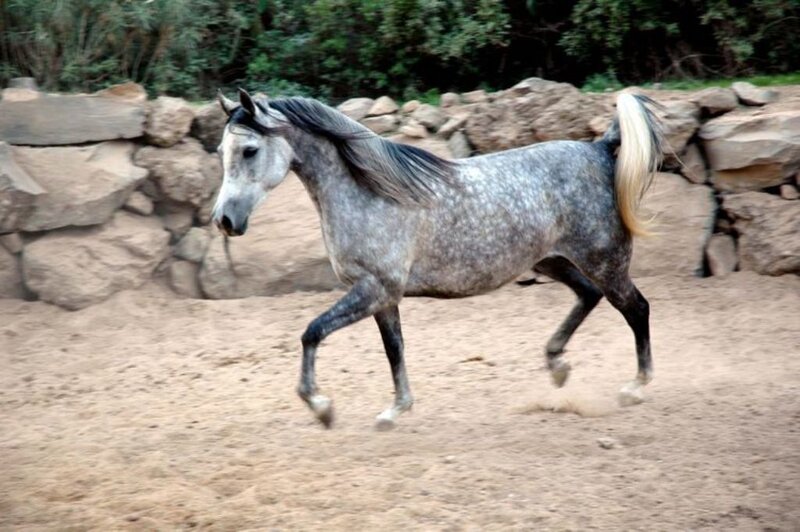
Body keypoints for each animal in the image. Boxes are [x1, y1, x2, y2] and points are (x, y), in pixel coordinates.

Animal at [212, 88, 664, 430]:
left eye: (249, 150)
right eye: (221, 150)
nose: (224, 220)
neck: (369, 192)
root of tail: (600, 149)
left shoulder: (375, 289)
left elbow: (312, 332)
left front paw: (322, 408)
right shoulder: (383, 297)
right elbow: (394, 349)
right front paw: (394, 411)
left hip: (604, 260)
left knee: (636, 308)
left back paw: (636, 387)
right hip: (551, 260)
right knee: (588, 295)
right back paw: (557, 367)